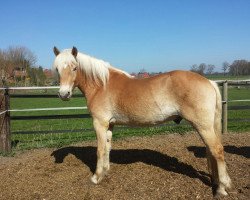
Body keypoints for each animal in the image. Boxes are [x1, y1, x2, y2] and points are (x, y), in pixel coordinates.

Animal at [52, 45, 232, 197]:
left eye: (74, 67)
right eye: (57, 69)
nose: (64, 94)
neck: (101, 85)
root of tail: (208, 81)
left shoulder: (99, 123)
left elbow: (100, 150)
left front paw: (96, 177)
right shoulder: (109, 125)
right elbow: (108, 148)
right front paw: (105, 171)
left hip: (203, 126)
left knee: (217, 150)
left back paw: (222, 188)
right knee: (211, 151)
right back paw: (217, 182)